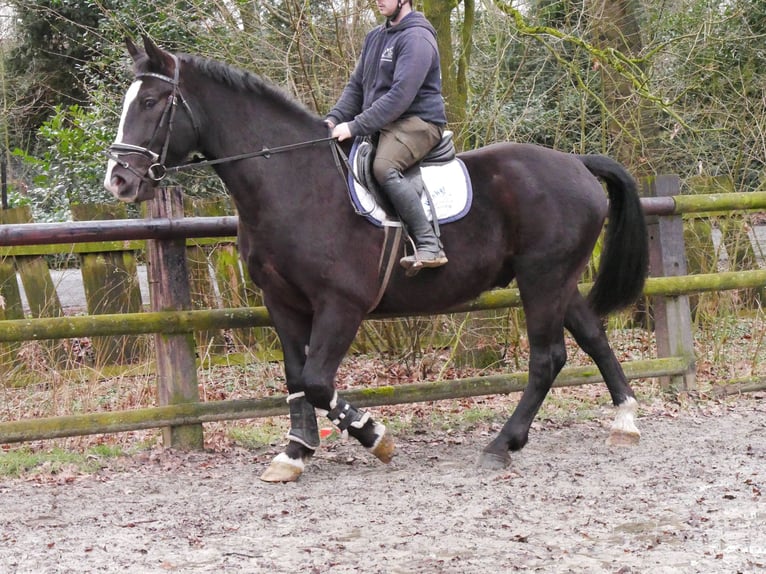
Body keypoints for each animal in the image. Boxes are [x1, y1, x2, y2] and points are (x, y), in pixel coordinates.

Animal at [104, 36, 649, 483]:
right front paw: (294, 453)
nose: (119, 180)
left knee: (546, 358)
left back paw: (501, 444)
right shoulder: (283, 302)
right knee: (593, 336)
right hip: (557, 280)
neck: (293, 182)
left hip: (542, 279)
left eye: (150, 102)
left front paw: (374, 436)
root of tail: (576, 164)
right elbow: (296, 378)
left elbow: (316, 380)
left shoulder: (341, 304)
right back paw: (624, 421)